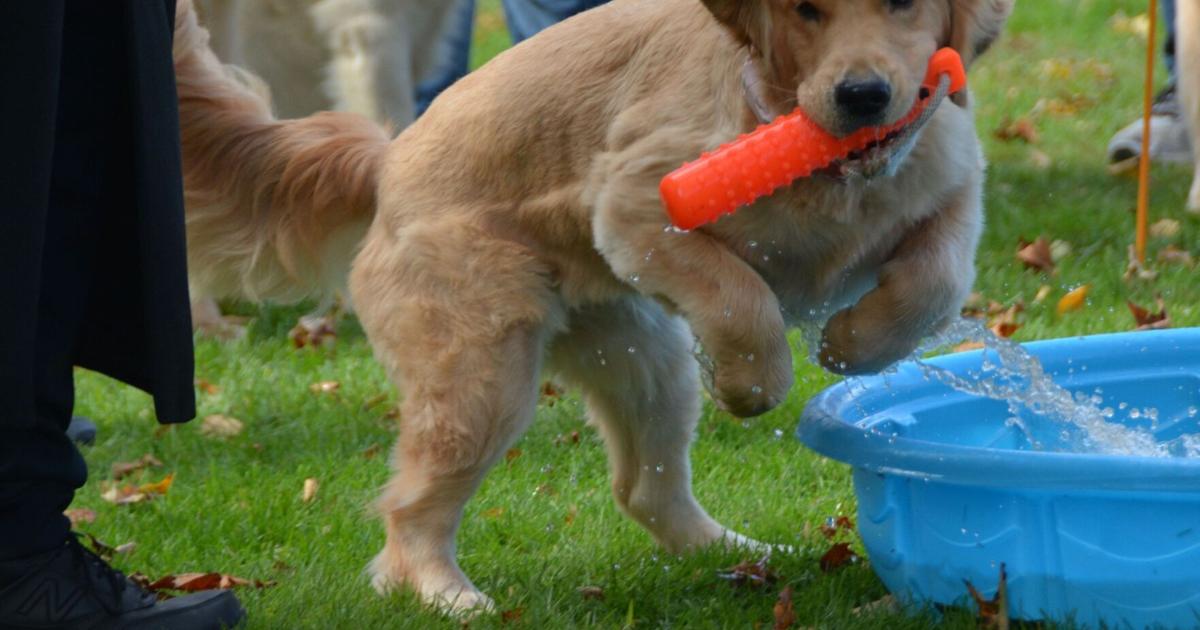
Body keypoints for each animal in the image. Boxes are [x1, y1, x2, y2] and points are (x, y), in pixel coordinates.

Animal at [169, 0, 1012, 614]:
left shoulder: (951, 183)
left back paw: (740, 554)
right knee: (410, 509)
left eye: (903, 5)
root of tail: (388, 159)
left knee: (643, 489)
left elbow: (933, 278)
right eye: (807, 11)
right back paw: (447, 594)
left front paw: (853, 343)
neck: (828, 164)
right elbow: (740, 294)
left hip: (642, 356)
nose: (862, 95)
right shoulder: (638, 202)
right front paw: (757, 379)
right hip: (483, 370)